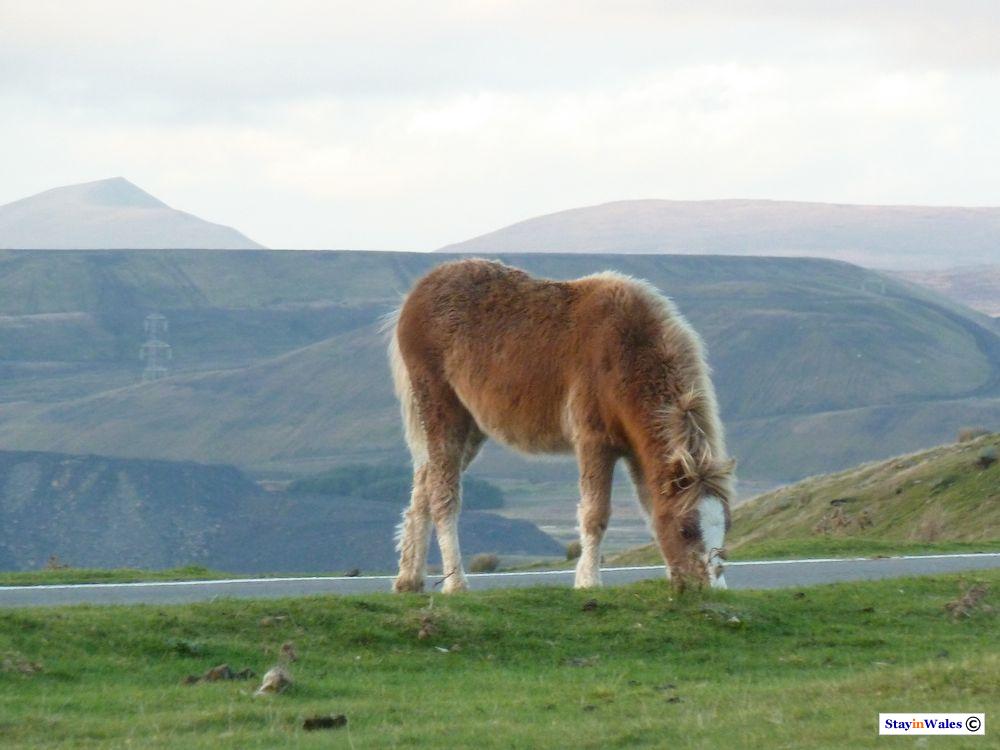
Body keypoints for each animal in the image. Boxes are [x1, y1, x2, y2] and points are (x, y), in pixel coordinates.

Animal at [386, 259, 734, 594]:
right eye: (686, 530)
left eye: (727, 525)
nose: (714, 590)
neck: (626, 350)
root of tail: (417, 294)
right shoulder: (594, 441)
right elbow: (595, 514)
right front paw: (588, 581)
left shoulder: (638, 452)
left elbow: (650, 511)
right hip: (442, 412)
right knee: (443, 497)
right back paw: (455, 584)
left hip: (470, 428)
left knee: (424, 489)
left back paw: (409, 580)